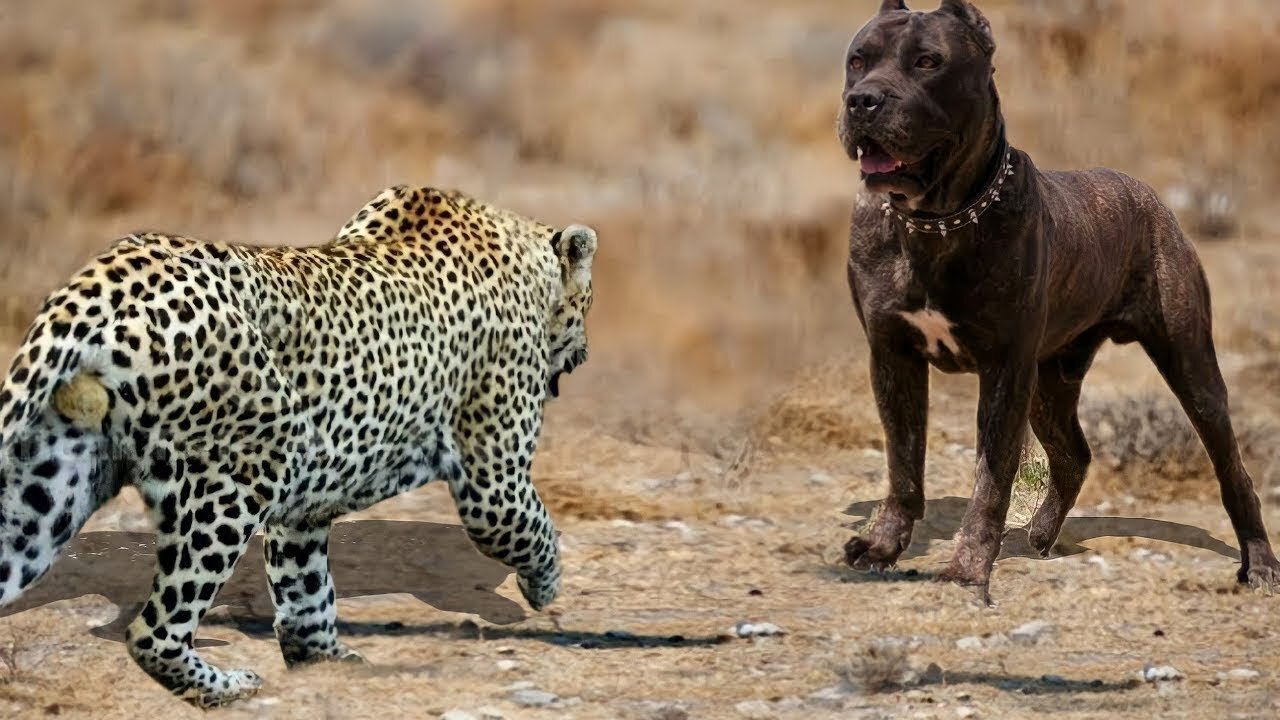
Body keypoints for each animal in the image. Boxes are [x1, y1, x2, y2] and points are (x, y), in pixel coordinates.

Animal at [0, 181, 593, 702]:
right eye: (588, 302)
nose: (584, 351)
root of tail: (114, 273)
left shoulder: (304, 505)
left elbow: (304, 586)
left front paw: (324, 662)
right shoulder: (493, 479)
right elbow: (530, 527)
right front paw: (542, 589)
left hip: (49, 489)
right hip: (242, 474)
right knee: (154, 629)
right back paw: (226, 688)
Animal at [839, 0, 1280, 594]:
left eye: (928, 62)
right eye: (857, 61)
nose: (862, 100)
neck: (936, 221)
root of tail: (1152, 197)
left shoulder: (1004, 370)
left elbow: (991, 477)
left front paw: (967, 568)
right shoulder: (893, 356)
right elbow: (904, 466)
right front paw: (883, 546)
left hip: (1190, 366)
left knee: (1232, 469)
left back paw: (1259, 564)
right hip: (1050, 381)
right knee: (1074, 454)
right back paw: (1042, 535)